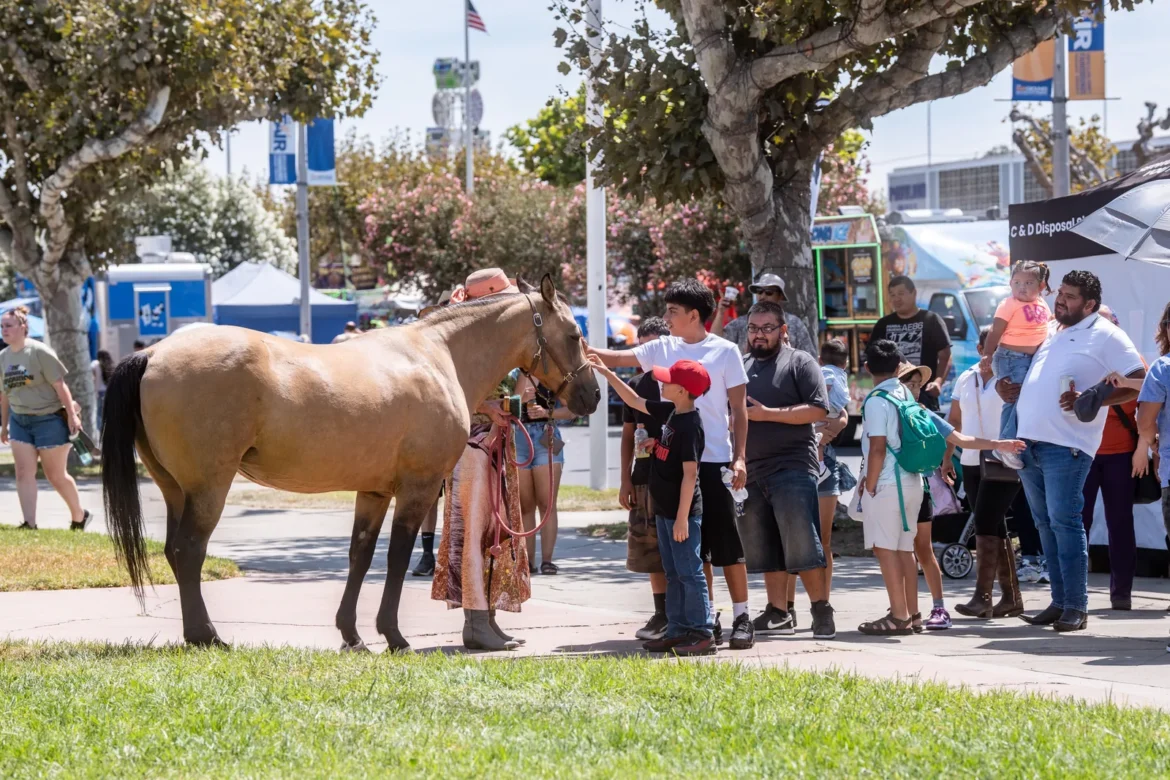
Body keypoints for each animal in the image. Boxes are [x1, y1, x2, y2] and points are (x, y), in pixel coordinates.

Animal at [100, 275, 600, 651]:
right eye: (575, 335)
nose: (592, 396)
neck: (438, 355)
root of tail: (153, 353)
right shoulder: (417, 488)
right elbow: (397, 557)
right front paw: (393, 636)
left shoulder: (374, 491)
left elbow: (359, 556)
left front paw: (352, 634)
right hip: (208, 488)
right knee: (189, 551)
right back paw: (207, 635)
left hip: (175, 489)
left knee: (172, 551)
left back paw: (196, 633)